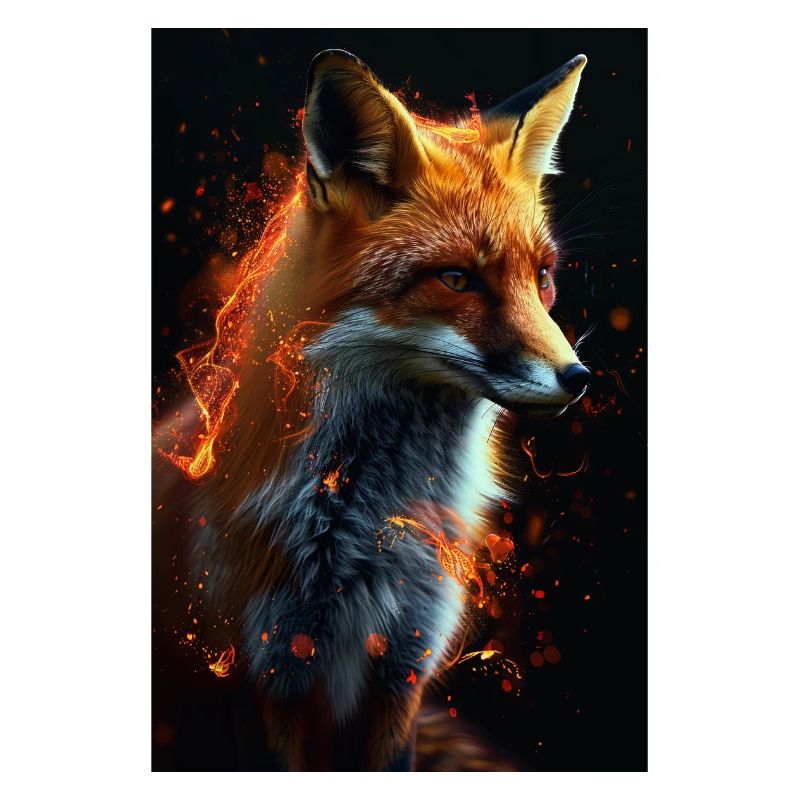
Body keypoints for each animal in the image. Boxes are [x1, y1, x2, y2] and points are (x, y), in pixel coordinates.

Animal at [154, 49, 590, 771]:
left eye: (543, 276)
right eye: (457, 279)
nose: (578, 378)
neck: (368, 533)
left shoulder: (403, 667)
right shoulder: (267, 675)